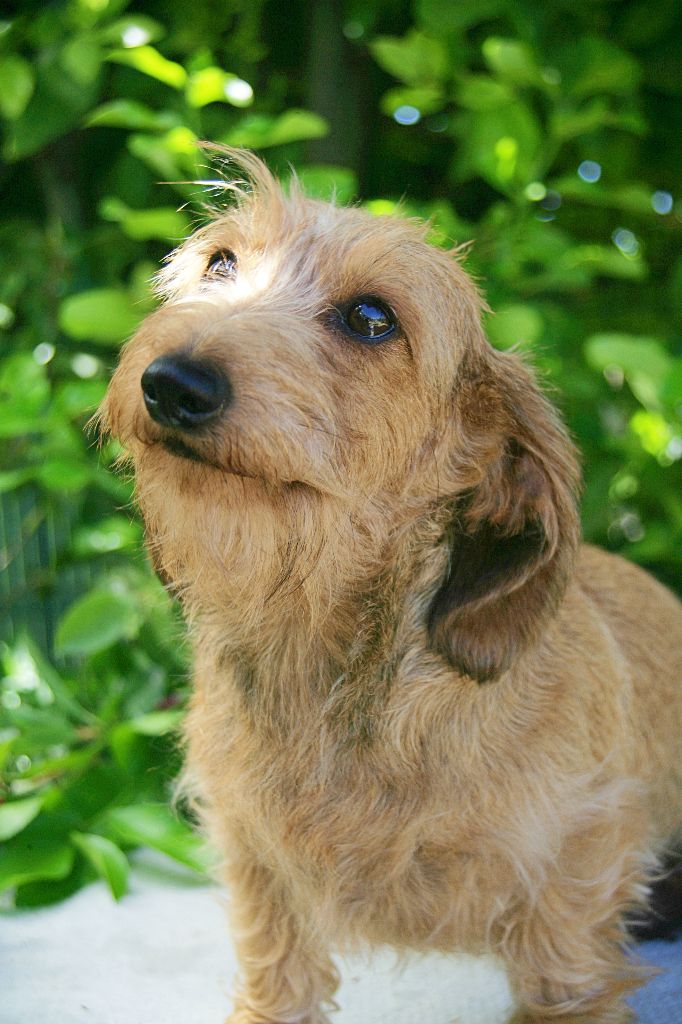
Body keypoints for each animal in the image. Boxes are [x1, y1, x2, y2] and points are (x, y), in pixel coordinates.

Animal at [100, 148, 682, 1023]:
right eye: (220, 262)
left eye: (372, 318)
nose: (172, 383)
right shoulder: (253, 854)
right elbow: (277, 961)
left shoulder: (577, 857)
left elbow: (563, 979)